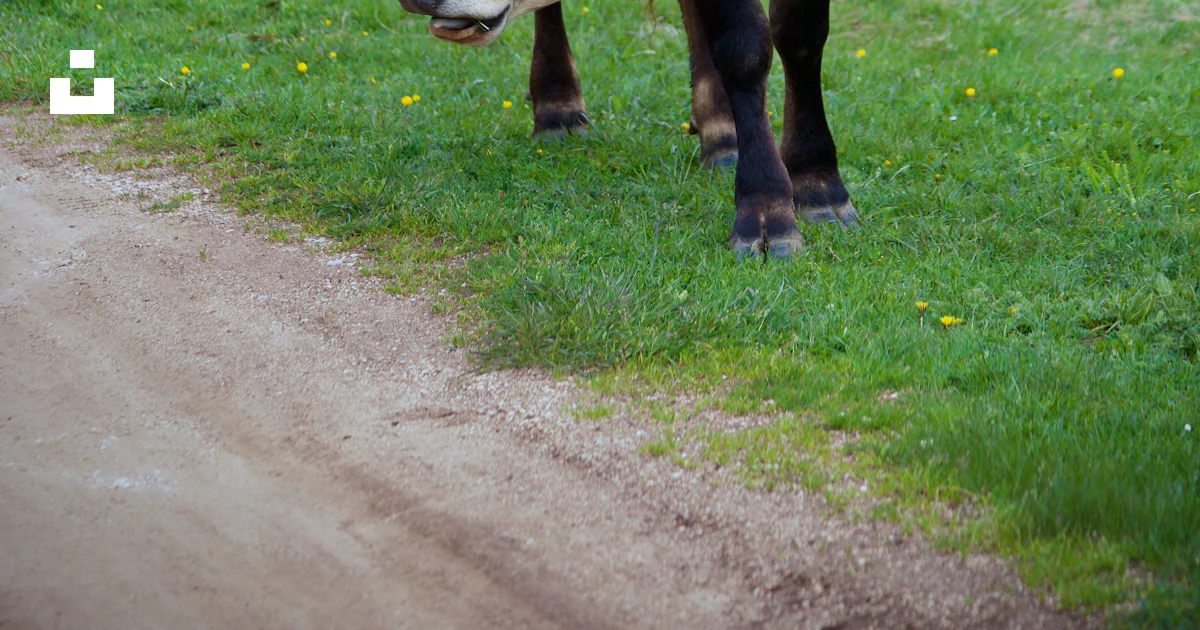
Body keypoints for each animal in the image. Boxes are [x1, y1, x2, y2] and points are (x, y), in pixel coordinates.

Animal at [395, 0, 860, 258]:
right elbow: (744, 45)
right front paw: (766, 209)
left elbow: (799, 32)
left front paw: (816, 182)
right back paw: (557, 106)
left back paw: (721, 131)